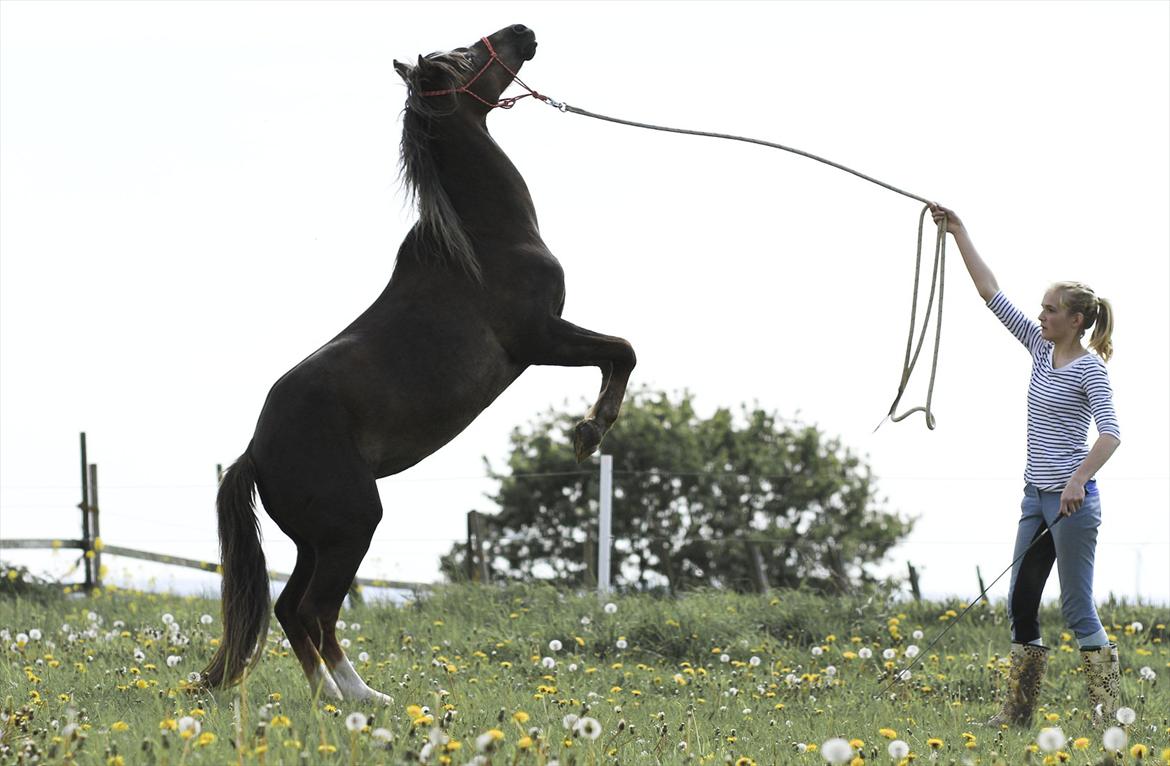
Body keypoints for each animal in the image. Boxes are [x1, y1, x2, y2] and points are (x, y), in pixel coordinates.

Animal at [199, 24, 636, 703]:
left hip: (315, 538)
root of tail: (254, 452)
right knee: (314, 609)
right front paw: (589, 433)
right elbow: (622, 351)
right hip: (352, 525)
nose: (522, 31)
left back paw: (333, 698)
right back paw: (363, 698)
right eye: (465, 56)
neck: (486, 238)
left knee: (292, 608)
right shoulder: (541, 340)